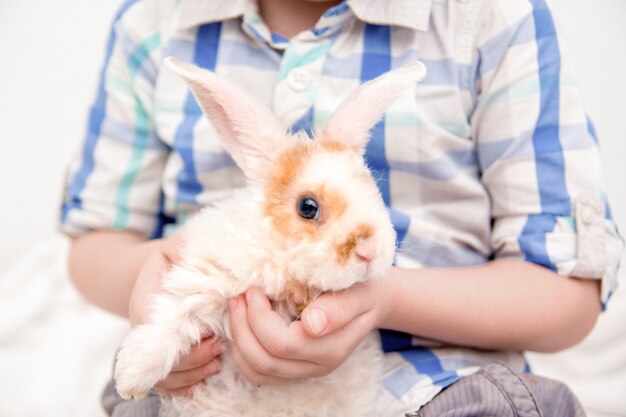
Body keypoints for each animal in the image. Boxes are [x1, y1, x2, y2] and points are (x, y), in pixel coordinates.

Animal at [113, 56, 424, 416]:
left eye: (373, 189)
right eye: (307, 207)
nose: (370, 251)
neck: (286, 267)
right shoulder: (209, 277)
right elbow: (174, 318)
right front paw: (131, 377)